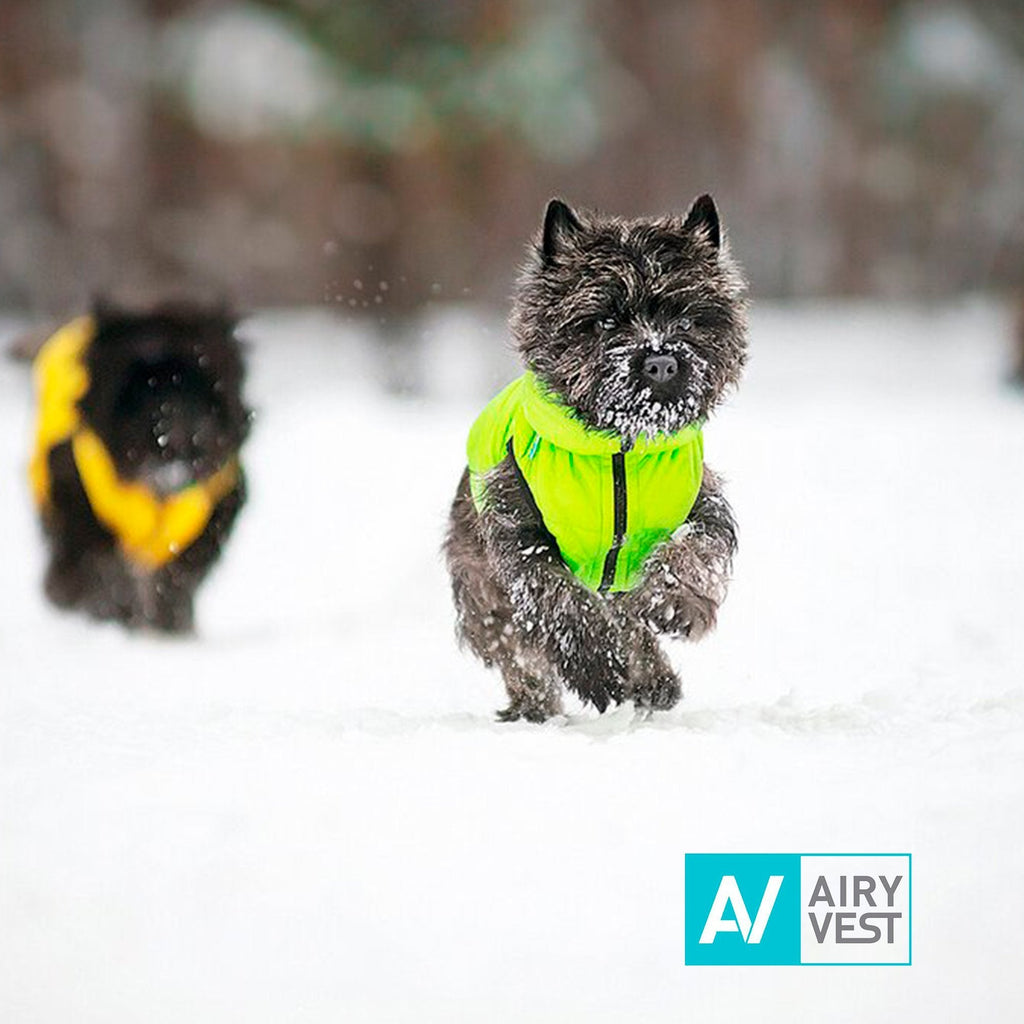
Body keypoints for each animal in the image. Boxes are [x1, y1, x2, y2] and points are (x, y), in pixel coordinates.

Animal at [29, 299, 252, 630]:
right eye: (141, 385)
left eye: (208, 380)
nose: (177, 432)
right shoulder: (78, 493)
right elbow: (99, 564)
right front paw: (110, 609)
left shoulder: (216, 506)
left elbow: (178, 575)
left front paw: (167, 623)